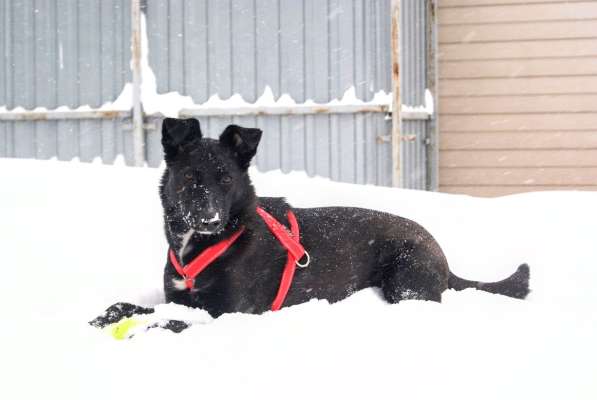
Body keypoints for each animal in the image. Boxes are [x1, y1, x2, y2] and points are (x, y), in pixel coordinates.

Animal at [157, 117, 528, 318]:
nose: (209, 220)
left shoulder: (228, 311)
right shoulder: (175, 298)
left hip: (405, 280)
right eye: (189, 177)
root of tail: (444, 258)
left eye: (226, 179)